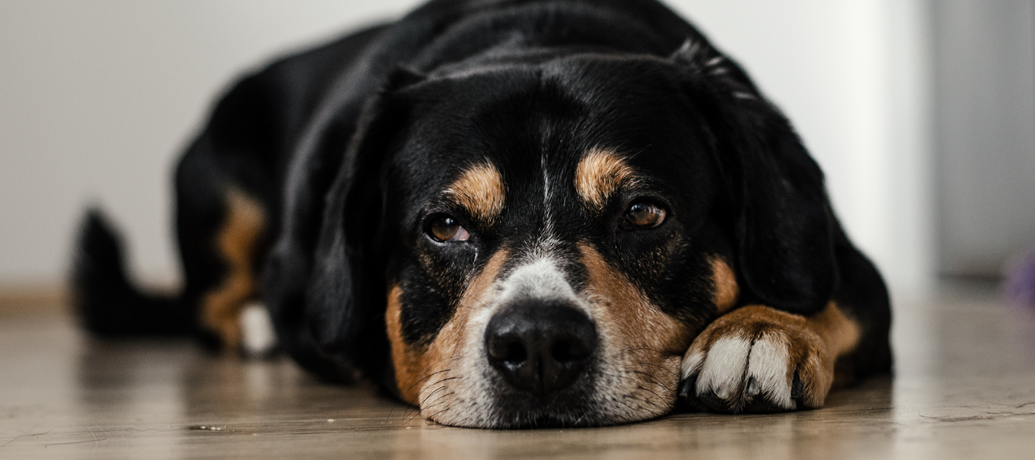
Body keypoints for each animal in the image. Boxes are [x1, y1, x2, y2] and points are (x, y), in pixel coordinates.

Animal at [72, 0, 890, 428]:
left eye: (642, 213)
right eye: (444, 226)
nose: (537, 344)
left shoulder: (847, 264)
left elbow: (826, 300)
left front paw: (757, 333)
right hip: (218, 188)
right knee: (209, 300)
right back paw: (255, 325)